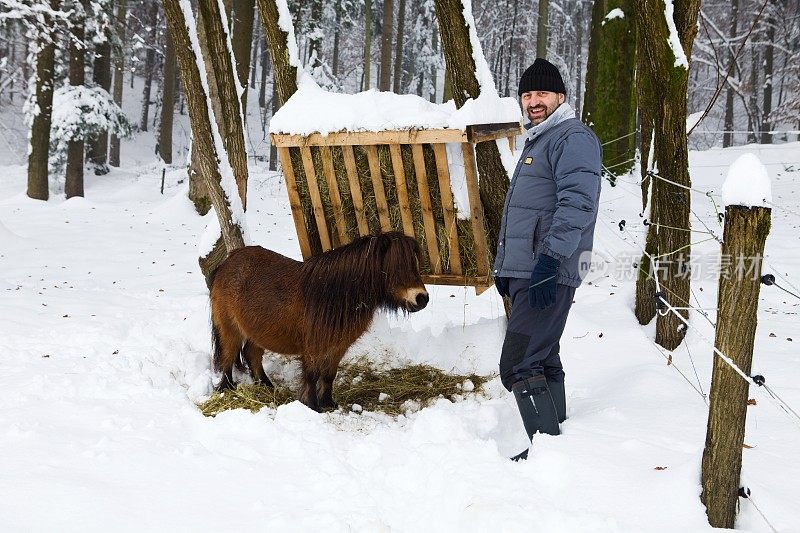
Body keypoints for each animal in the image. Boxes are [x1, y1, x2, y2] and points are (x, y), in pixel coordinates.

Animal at [209, 232, 428, 412]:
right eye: (397, 267)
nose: (422, 298)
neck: (333, 295)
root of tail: (228, 261)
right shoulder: (312, 348)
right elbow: (312, 375)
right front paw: (313, 406)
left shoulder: (338, 347)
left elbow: (329, 375)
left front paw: (328, 403)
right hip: (230, 329)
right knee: (228, 358)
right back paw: (226, 390)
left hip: (256, 331)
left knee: (251, 355)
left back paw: (268, 387)